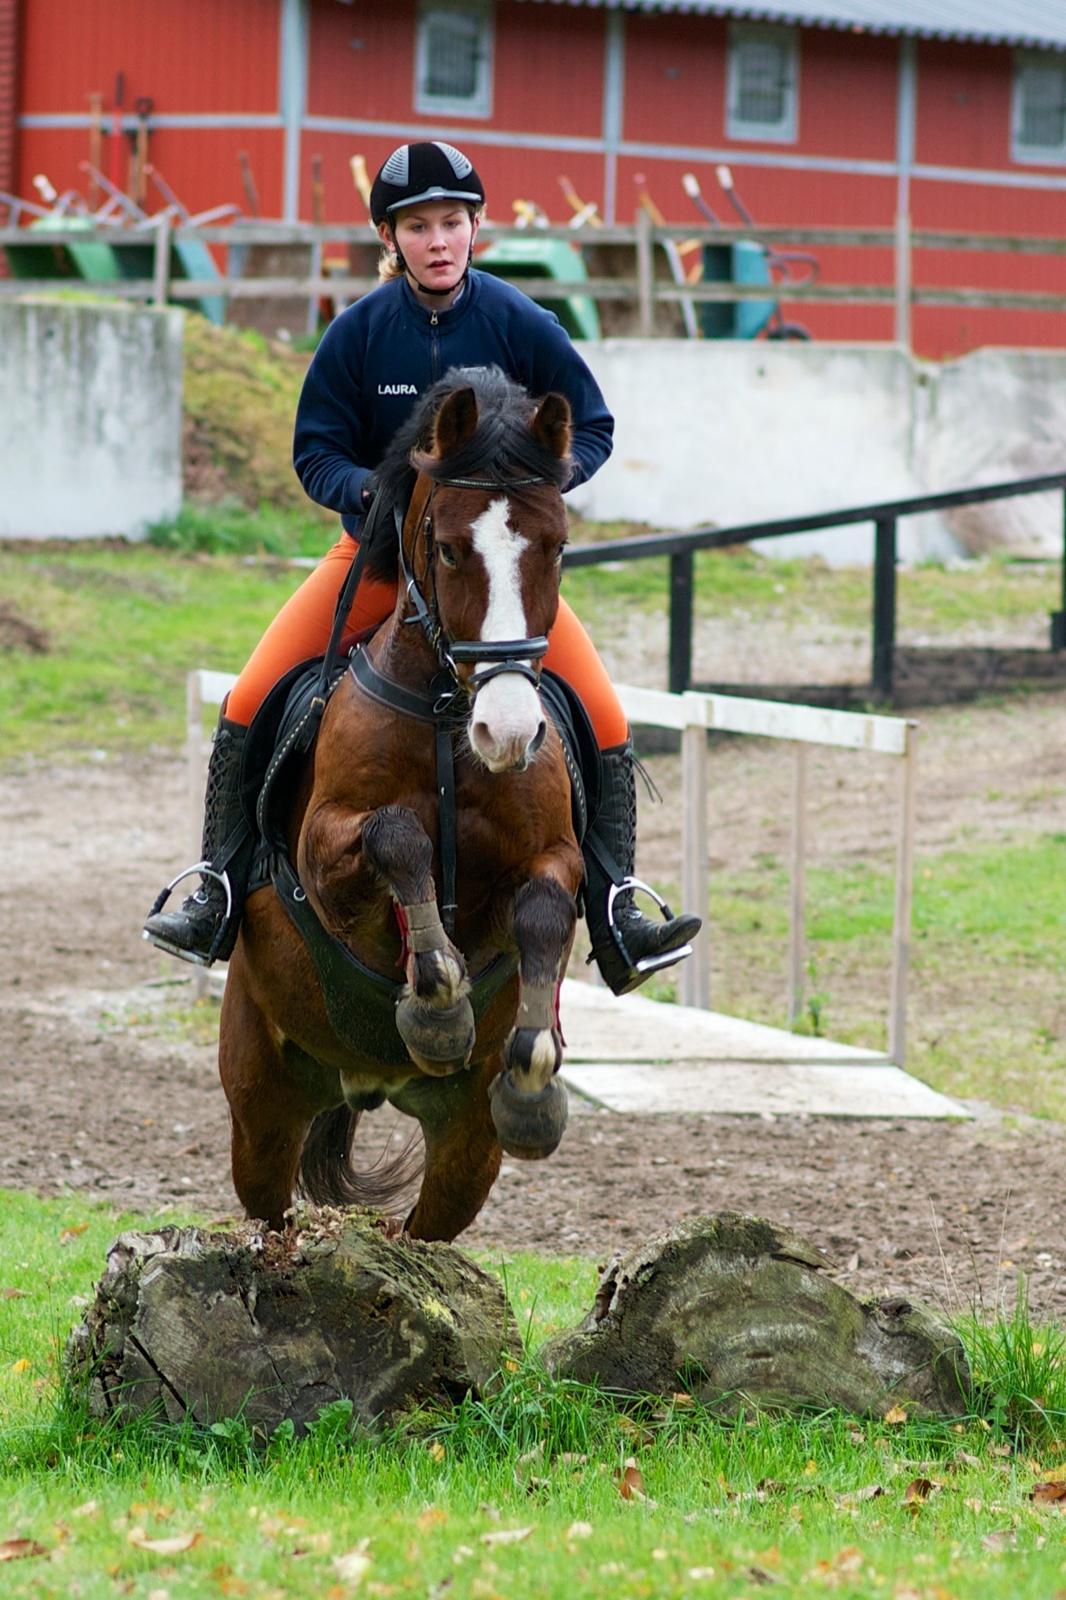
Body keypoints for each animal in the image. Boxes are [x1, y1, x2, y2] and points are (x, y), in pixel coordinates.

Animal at [214, 368, 582, 1241]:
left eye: (556, 547)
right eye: (448, 548)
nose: (507, 732)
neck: (449, 712)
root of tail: (365, 1083)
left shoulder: (555, 856)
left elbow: (544, 910)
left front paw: (533, 1068)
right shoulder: (325, 853)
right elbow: (398, 838)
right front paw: (438, 1002)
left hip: (467, 1148)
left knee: (431, 1233)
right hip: (259, 1102)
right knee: (268, 1209)